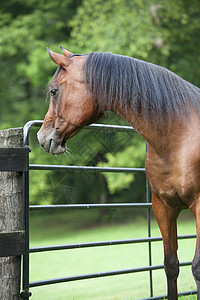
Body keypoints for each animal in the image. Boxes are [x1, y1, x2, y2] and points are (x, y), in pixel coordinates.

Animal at [37, 45, 200, 298]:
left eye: (54, 91)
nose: (42, 137)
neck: (178, 136)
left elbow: (197, 267)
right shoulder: (163, 208)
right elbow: (171, 265)